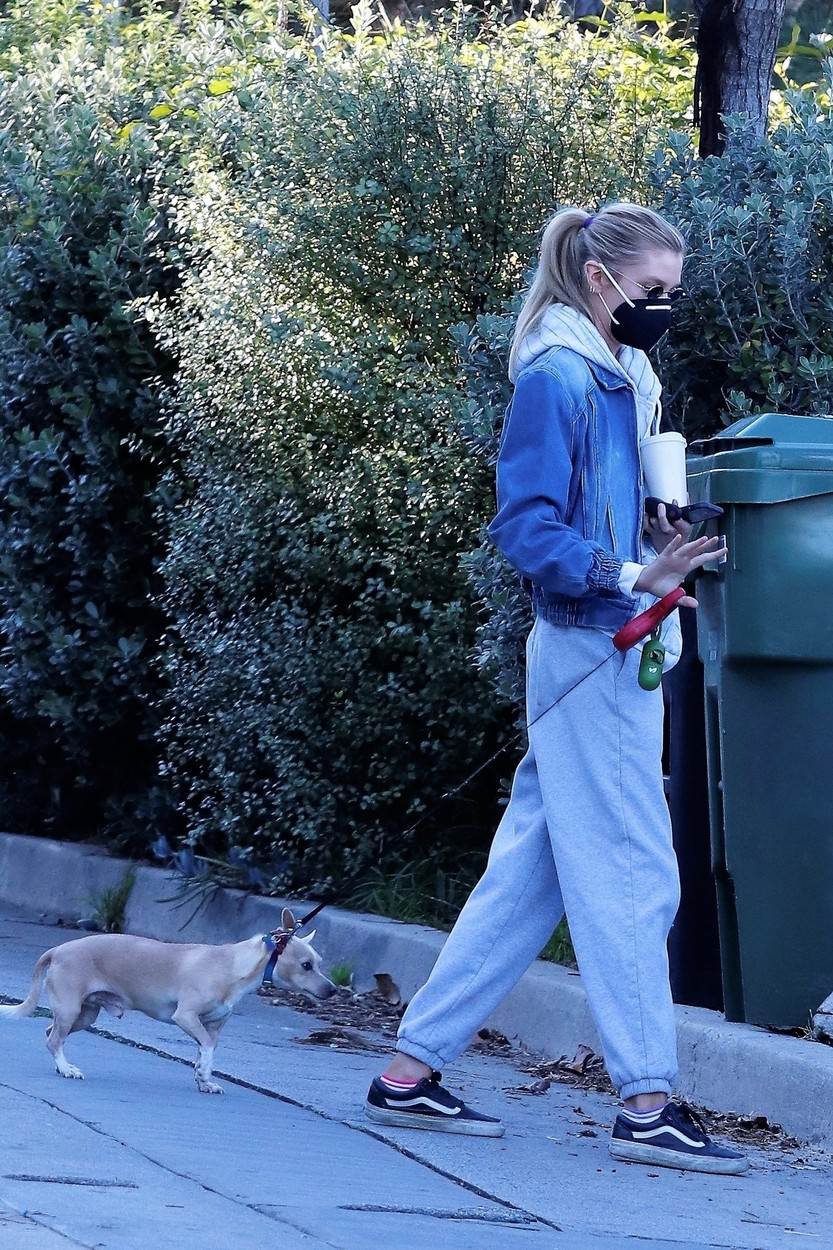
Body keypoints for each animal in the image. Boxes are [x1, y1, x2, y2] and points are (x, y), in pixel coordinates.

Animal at [0, 910, 330, 1095]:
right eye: (306, 966)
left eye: (319, 963)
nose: (332, 990)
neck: (234, 966)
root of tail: (57, 950)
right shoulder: (186, 1017)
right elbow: (207, 1048)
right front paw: (203, 1073)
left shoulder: (212, 1026)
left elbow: (206, 1051)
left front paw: (204, 1080)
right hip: (71, 1010)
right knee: (53, 1039)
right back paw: (66, 1068)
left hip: (85, 1015)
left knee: (50, 1033)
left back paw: (63, 1067)